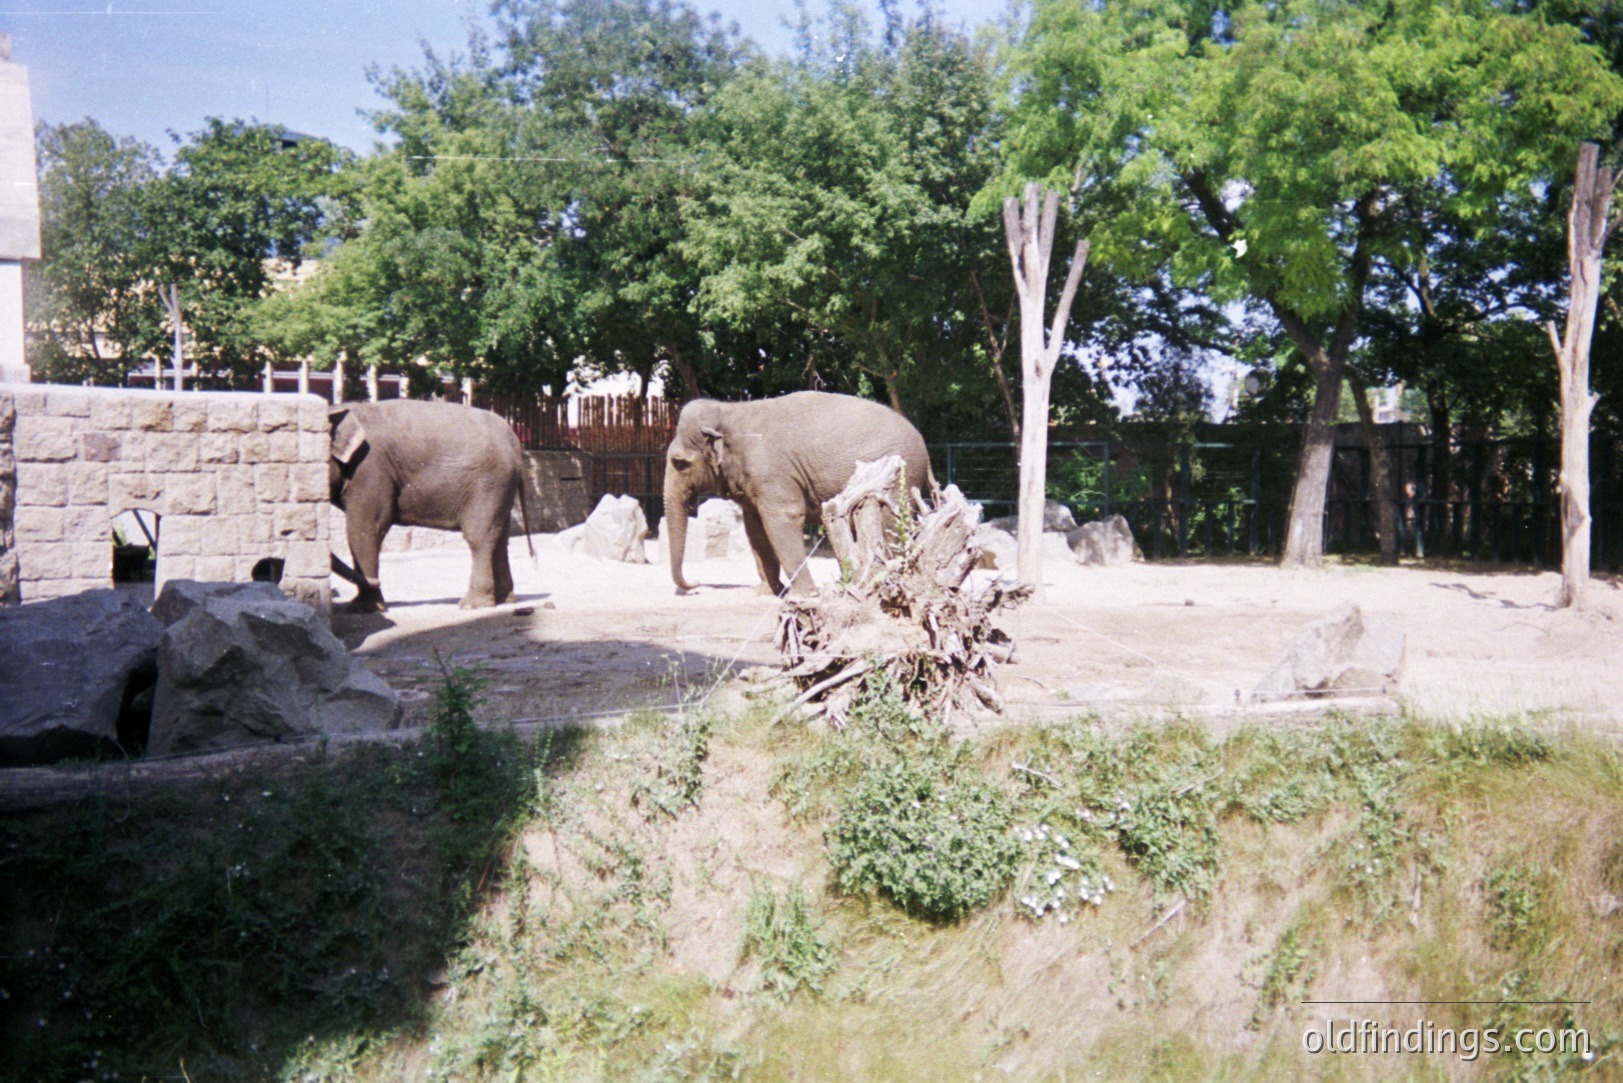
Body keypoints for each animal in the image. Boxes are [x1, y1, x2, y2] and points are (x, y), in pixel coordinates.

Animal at [329, 399, 532, 612]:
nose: (377, 582)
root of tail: (514, 443)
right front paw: (360, 604)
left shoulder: (369, 468)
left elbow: (365, 528)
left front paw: (365, 608)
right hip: (502, 486)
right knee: (501, 536)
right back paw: (504, 600)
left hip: (489, 483)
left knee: (479, 536)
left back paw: (472, 605)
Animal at [662, 390, 934, 596]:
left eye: (680, 463)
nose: (696, 584)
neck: (729, 412)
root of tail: (925, 447)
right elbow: (755, 531)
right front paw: (767, 592)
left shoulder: (772, 474)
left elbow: (784, 519)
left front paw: (804, 595)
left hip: (897, 481)